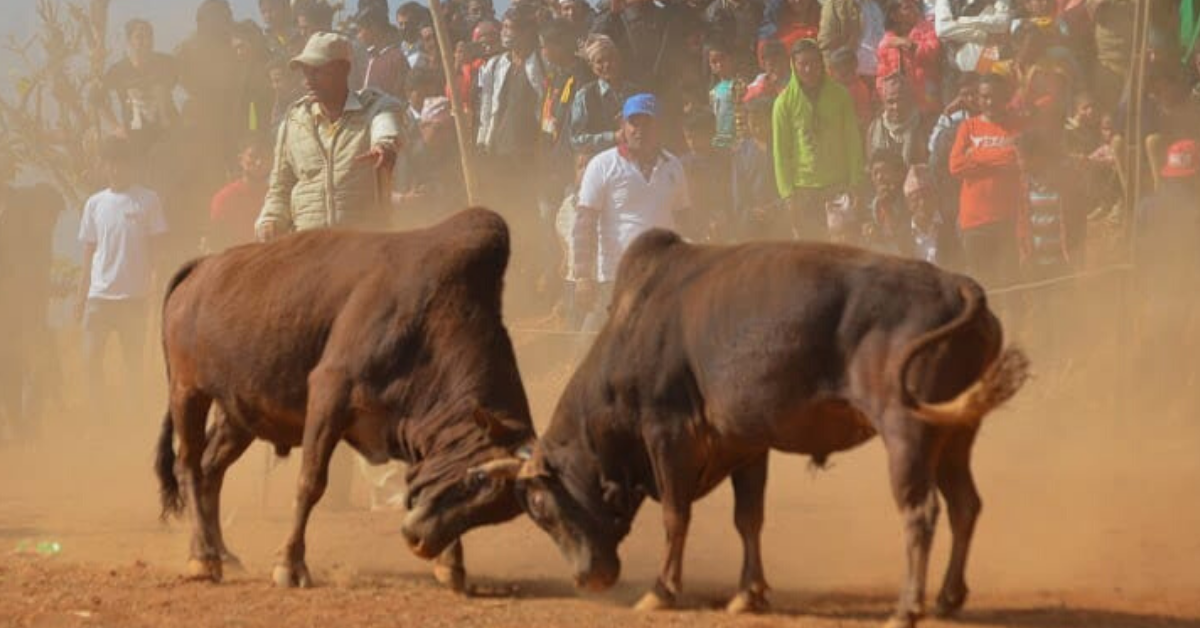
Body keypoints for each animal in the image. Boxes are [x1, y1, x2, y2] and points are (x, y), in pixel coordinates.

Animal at [511, 230, 1027, 628]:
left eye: (540, 507)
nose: (586, 579)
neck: (634, 328)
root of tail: (957, 285)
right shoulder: (747, 445)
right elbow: (749, 518)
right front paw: (749, 593)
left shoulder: (667, 435)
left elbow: (676, 516)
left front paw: (662, 590)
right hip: (955, 436)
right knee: (965, 505)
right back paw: (947, 597)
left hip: (908, 434)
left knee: (920, 513)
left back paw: (906, 608)